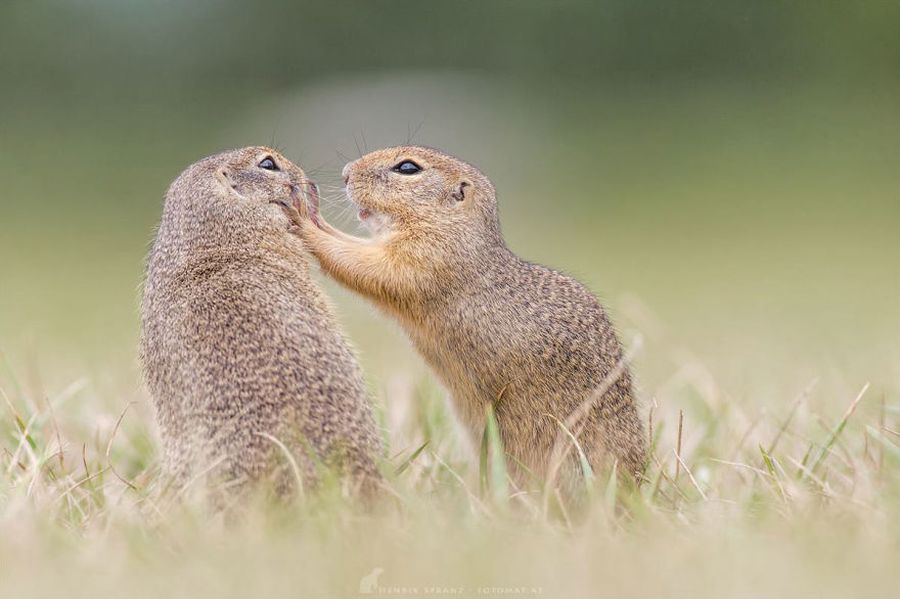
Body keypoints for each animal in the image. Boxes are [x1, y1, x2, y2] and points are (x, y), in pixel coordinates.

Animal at [296, 145, 648, 492]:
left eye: (408, 168)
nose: (346, 173)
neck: (456, 229)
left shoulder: (426, 259)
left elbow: (366, 265)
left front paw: (305, 222)